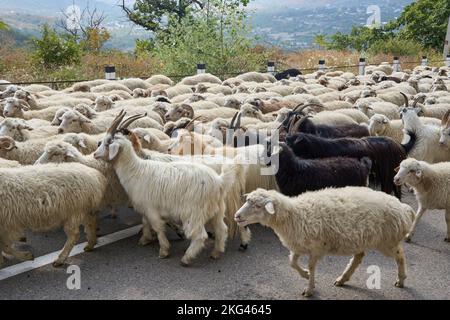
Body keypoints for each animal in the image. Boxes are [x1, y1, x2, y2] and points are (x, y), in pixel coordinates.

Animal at [236, 188, 414, 298]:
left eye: (258, 206)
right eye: (247, 201)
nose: (237, 216)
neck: (295, 215)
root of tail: (403, 207)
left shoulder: (316, 248)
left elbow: (311, 266)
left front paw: (309, 288)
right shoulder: (299, 244)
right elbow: (292, 262)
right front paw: (305, 275)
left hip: (387, 241)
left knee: (400, 255)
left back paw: (401, 279)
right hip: (362, 239)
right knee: (358, 257)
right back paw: (343, 278)